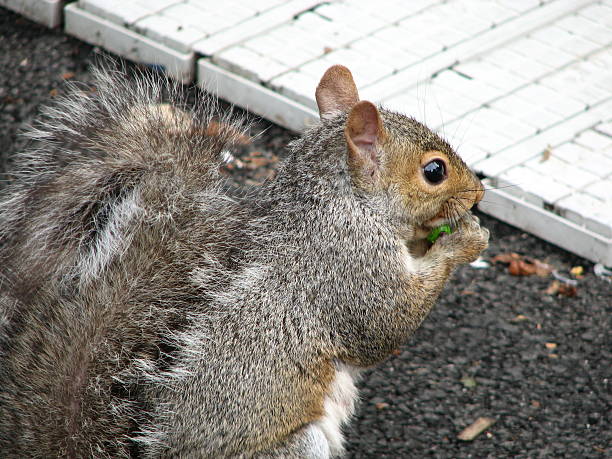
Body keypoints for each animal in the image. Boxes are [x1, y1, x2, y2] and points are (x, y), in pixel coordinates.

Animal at [0, 63, 488, 456]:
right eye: (434, 171)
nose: (479, 194)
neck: (341, 201)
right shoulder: (346, 263)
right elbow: (384, 326)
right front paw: (463, 241)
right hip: (296, 447)